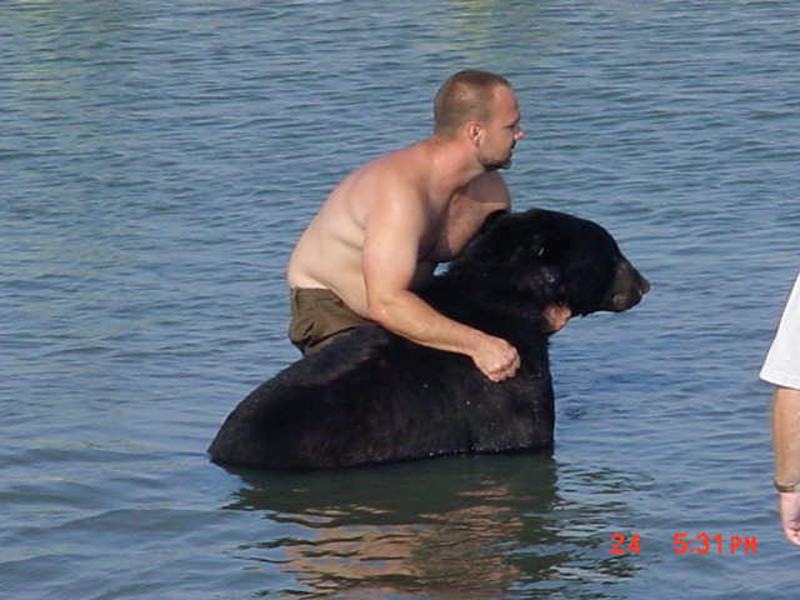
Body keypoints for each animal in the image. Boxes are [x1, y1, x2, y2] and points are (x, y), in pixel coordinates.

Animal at [209, 209, 648, 472]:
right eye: (613, 253)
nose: (644, 284)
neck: (512, 298)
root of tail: (217, 451)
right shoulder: (505, 378)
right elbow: (521, 434)